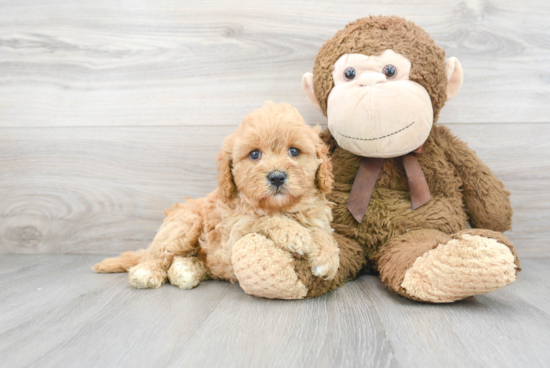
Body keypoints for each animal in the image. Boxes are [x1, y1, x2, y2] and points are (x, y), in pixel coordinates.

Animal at [95, 101, 340, 294]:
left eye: (294, 151)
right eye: (254, 154)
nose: (277, 177)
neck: (281, 206)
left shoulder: (317, 218)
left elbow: (324, 234)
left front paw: (327, 258)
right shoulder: (233, 233)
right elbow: (262, 219)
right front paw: (294, 233)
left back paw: (186, 270)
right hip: (185, 223)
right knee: (158, 255)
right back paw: (146, 272)